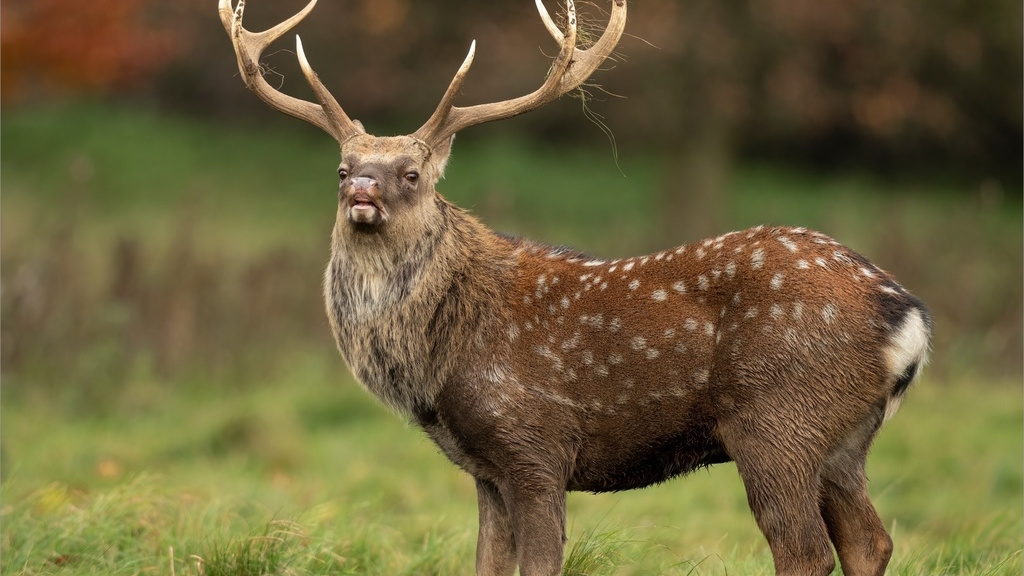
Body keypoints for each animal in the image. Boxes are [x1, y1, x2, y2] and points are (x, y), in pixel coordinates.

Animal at [219, 0, 932, 574]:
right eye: (342, 169)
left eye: (412, 174)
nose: (364, 191)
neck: (440, 362)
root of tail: (906, 315)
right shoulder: (487, 470)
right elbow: (486, 566)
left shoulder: (536, 446)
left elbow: (540, 565)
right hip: (844, 440)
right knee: (870, 541)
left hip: (776, 421)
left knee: (805, 550)